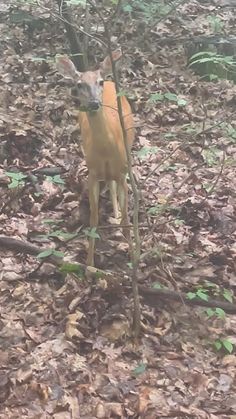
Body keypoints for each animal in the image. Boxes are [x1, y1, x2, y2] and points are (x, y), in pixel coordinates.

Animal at [54, 49, 134, 266]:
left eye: (99, 81)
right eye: (78, 84)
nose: (94, 103)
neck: (106, 150)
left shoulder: (122, 172)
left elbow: (127, 218)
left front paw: (135, 257)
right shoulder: (92, 173)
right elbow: (93, 219)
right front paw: (90, 264)